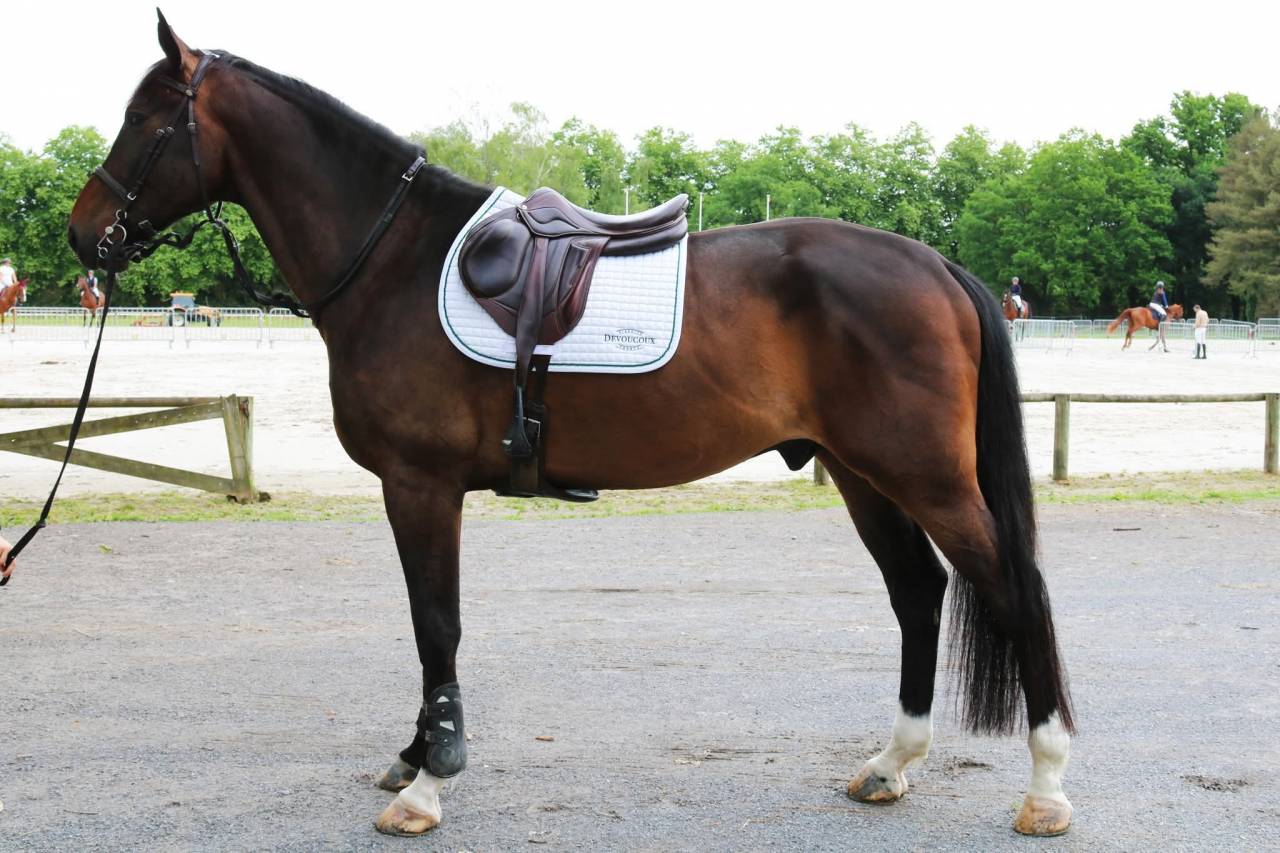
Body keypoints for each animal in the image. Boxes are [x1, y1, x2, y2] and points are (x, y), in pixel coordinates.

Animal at [64, 14, 1076, 838]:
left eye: (147, 118)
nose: (84, 232)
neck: (391, 257)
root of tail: (936, 265)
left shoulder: (420, 485)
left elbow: (436, 623)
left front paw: (429, 782)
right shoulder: (420, 489)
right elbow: (430, 623)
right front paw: (414, 753)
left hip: (924, 475)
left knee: (1014, 588)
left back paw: (1047, 786)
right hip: (862, 472)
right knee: (919, 591)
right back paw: (891, 764)